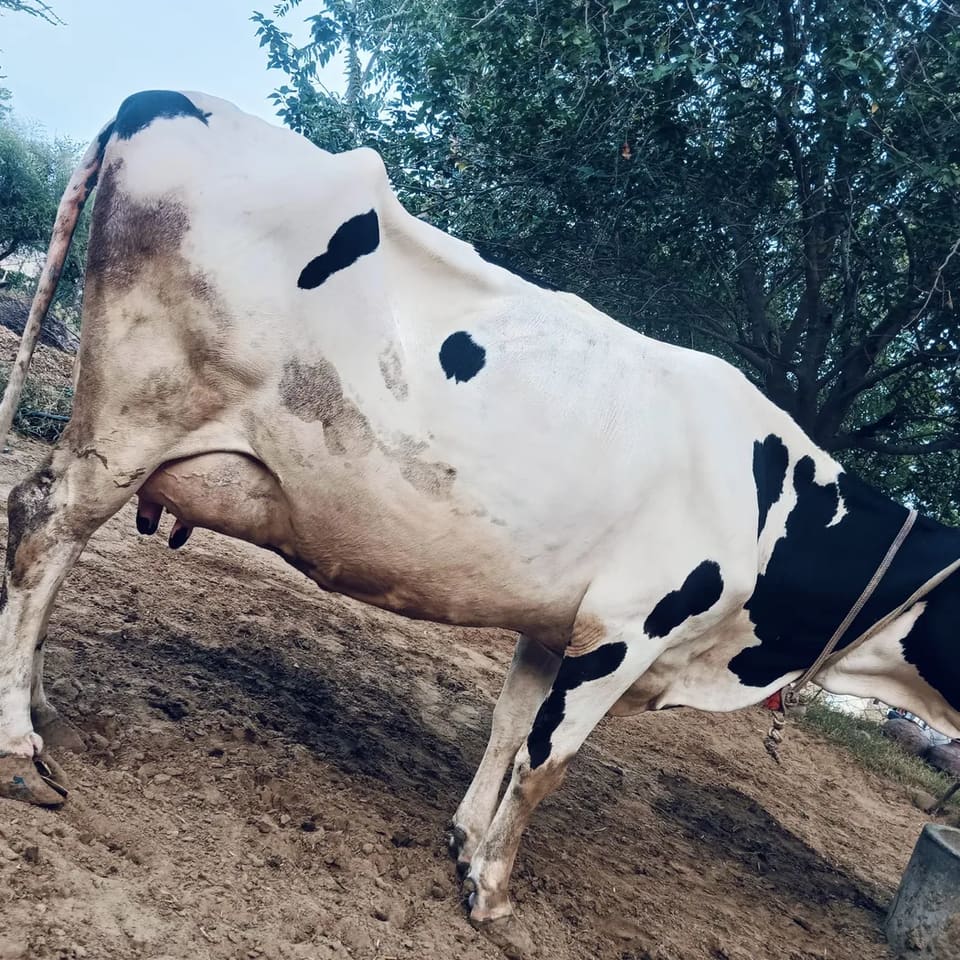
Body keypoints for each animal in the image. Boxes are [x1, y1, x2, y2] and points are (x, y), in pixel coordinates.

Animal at [1, 89, 959, 957]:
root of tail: (158, 98)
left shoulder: (559, 625)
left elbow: (507, 731)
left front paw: (464, 842)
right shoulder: (629, 631)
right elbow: (547, 762)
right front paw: (493, 892)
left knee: (37, 528)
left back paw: (45, 708)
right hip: (134, 419)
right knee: (46, 531)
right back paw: (18, 744)